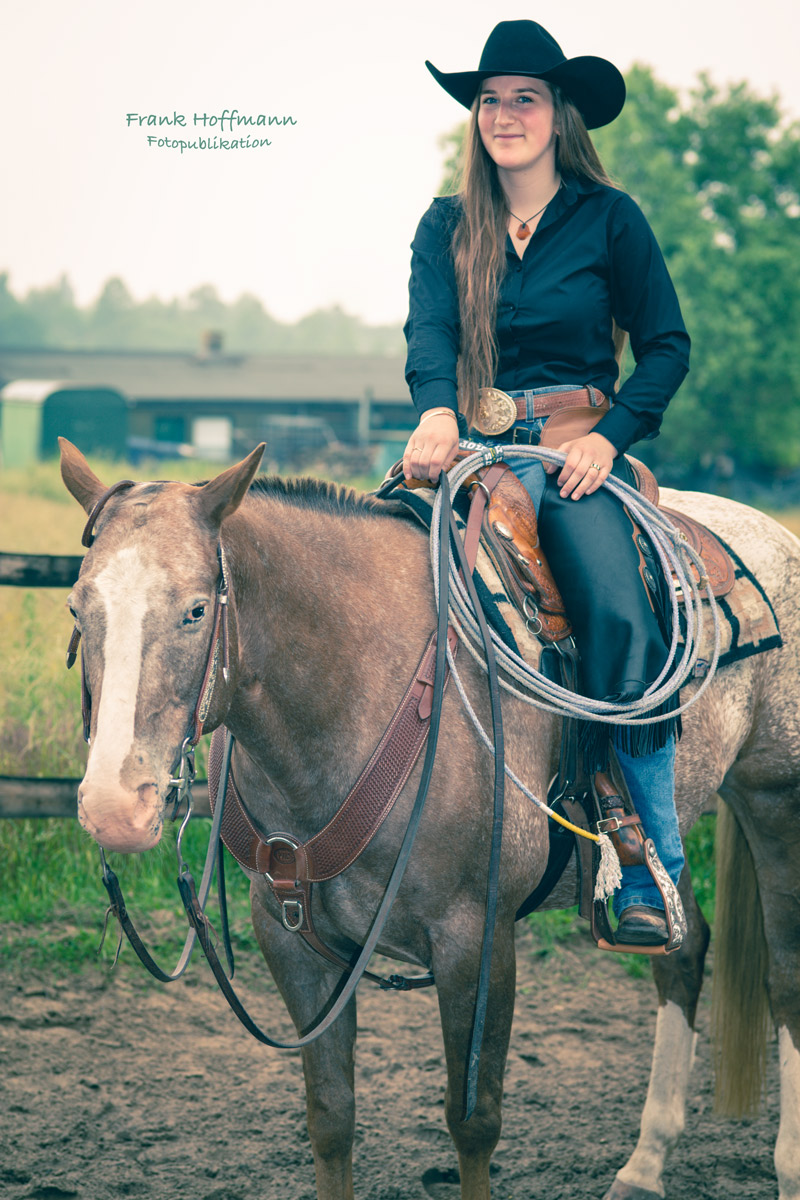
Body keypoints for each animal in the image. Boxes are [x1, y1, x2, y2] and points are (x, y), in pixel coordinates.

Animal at [59, 441, 800, 1200]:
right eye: (77, 607)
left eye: (196, 610)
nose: (115, 807)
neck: (358, 688)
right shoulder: (290, 941)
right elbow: (331, 1117)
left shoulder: (475, 940)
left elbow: (474, 1122)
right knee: (680, 951)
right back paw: (644, 1166)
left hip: (775, 801)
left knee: (785, 976)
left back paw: (785, 1165)